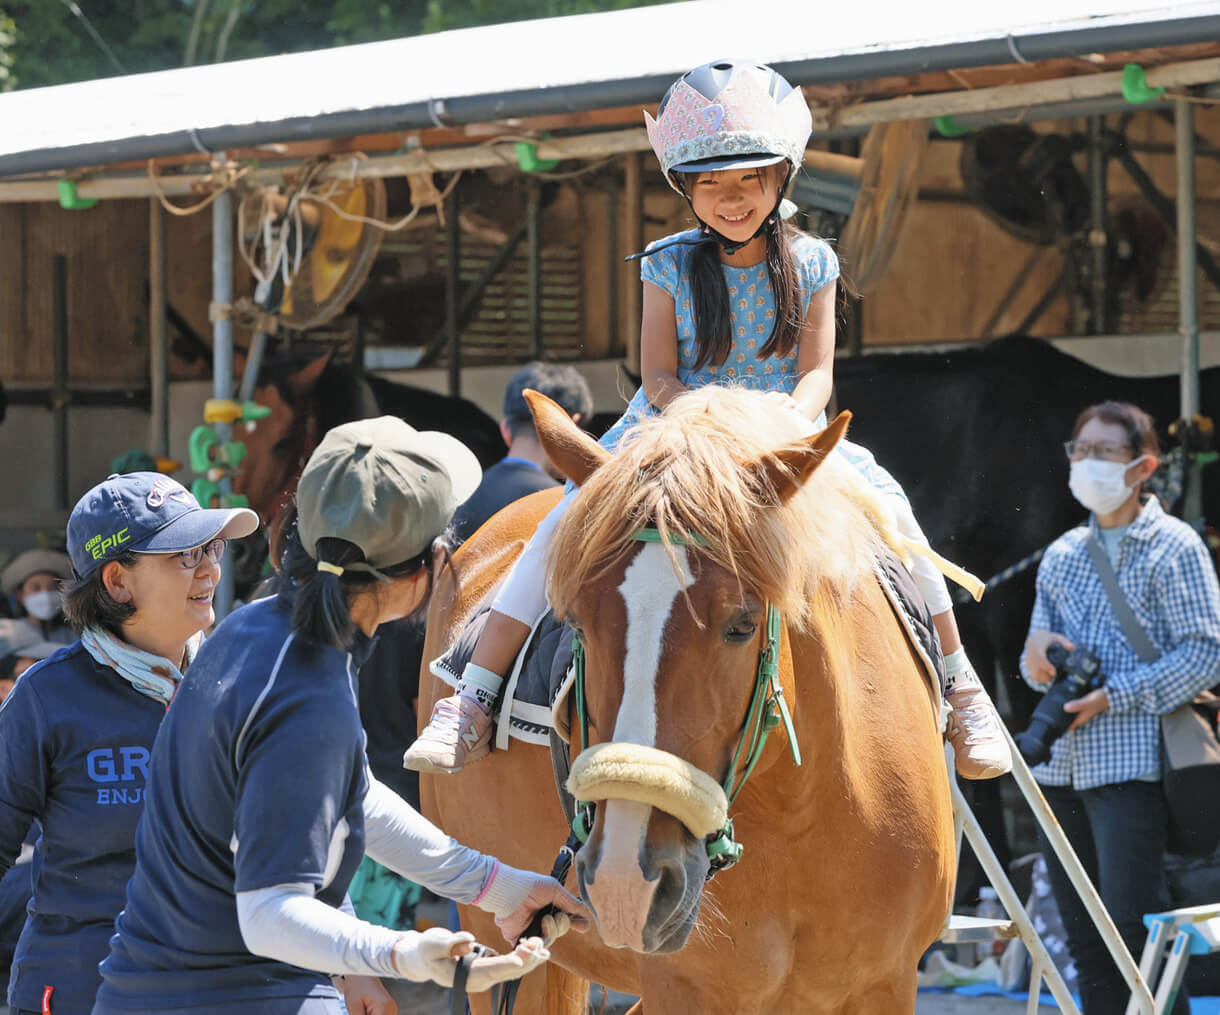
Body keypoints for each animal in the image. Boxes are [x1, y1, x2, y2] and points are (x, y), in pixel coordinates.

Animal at [419, 387, 951, 1014]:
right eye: (577, 623)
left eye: (742, 625)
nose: (626, 882)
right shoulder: (685, 989)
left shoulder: (887, 982)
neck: (804, 815)